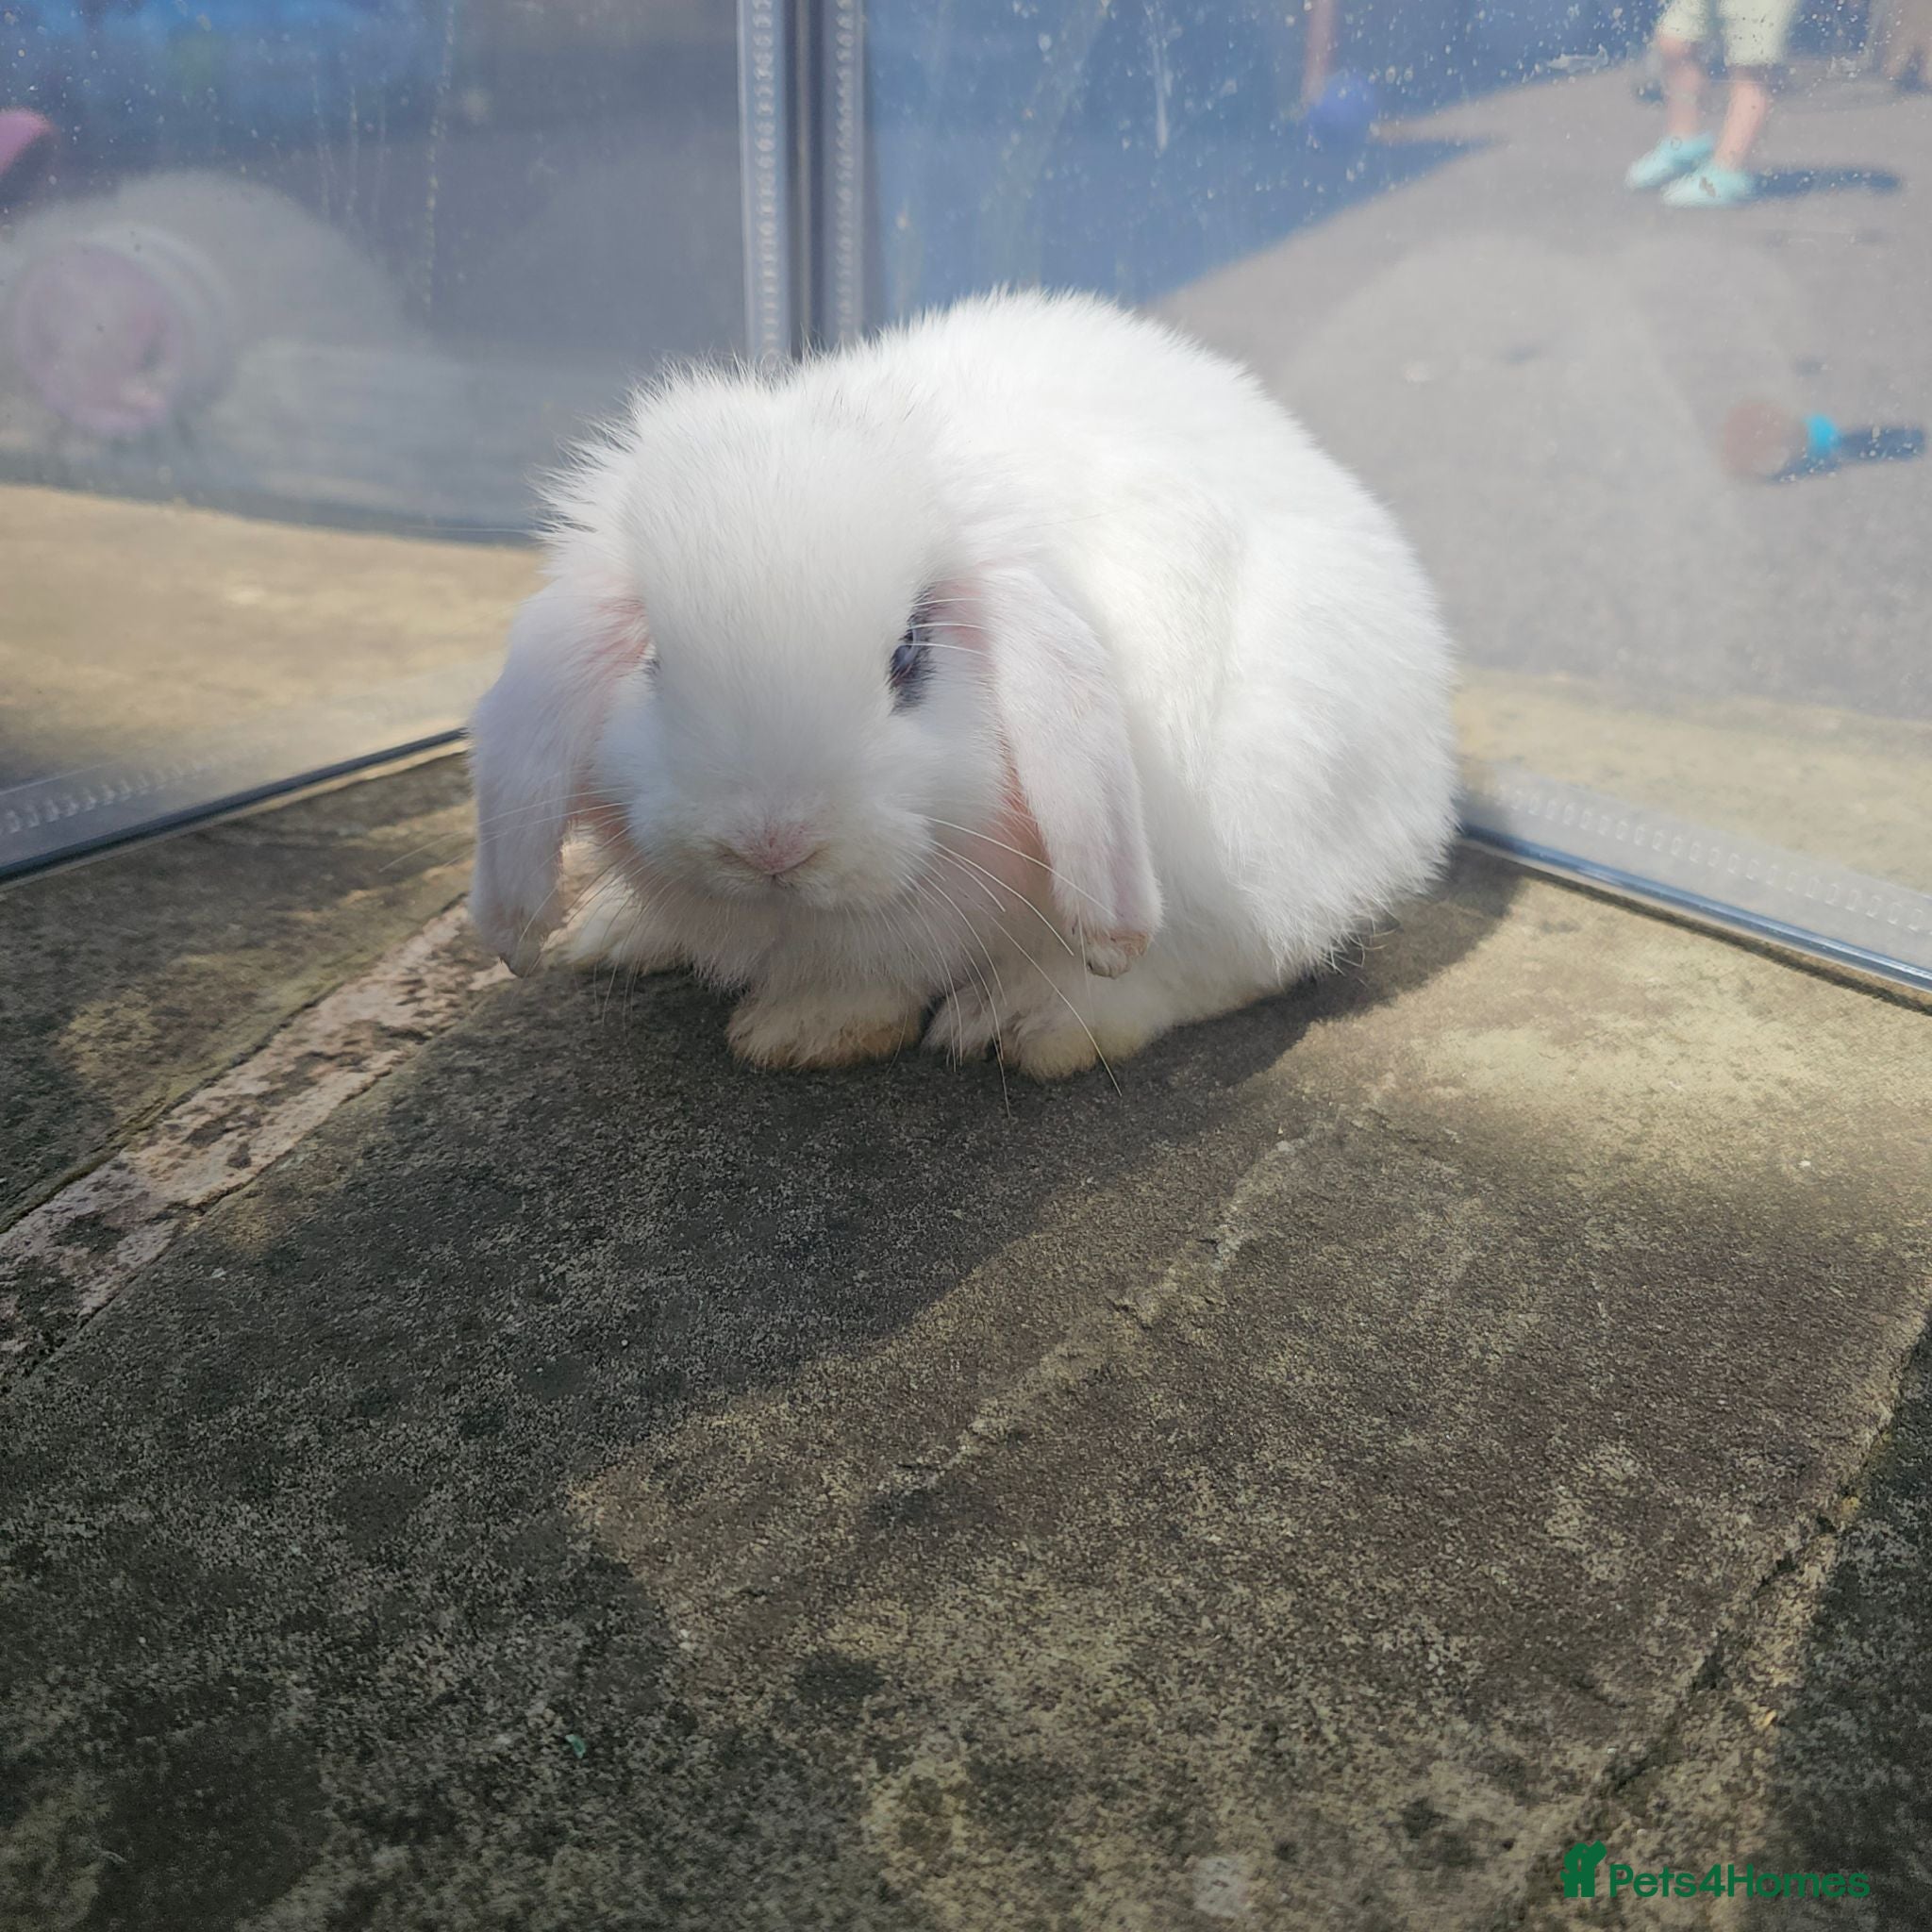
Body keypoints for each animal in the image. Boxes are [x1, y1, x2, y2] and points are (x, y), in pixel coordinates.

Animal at [468, 288, 1457, 1079]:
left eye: (911, 654)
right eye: (656, 660)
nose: (771, 845)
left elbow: (873, 980)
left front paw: (794, 1034)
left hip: (1254, 836)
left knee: (1219, 967)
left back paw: (1024, 1023)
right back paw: (613, 932)